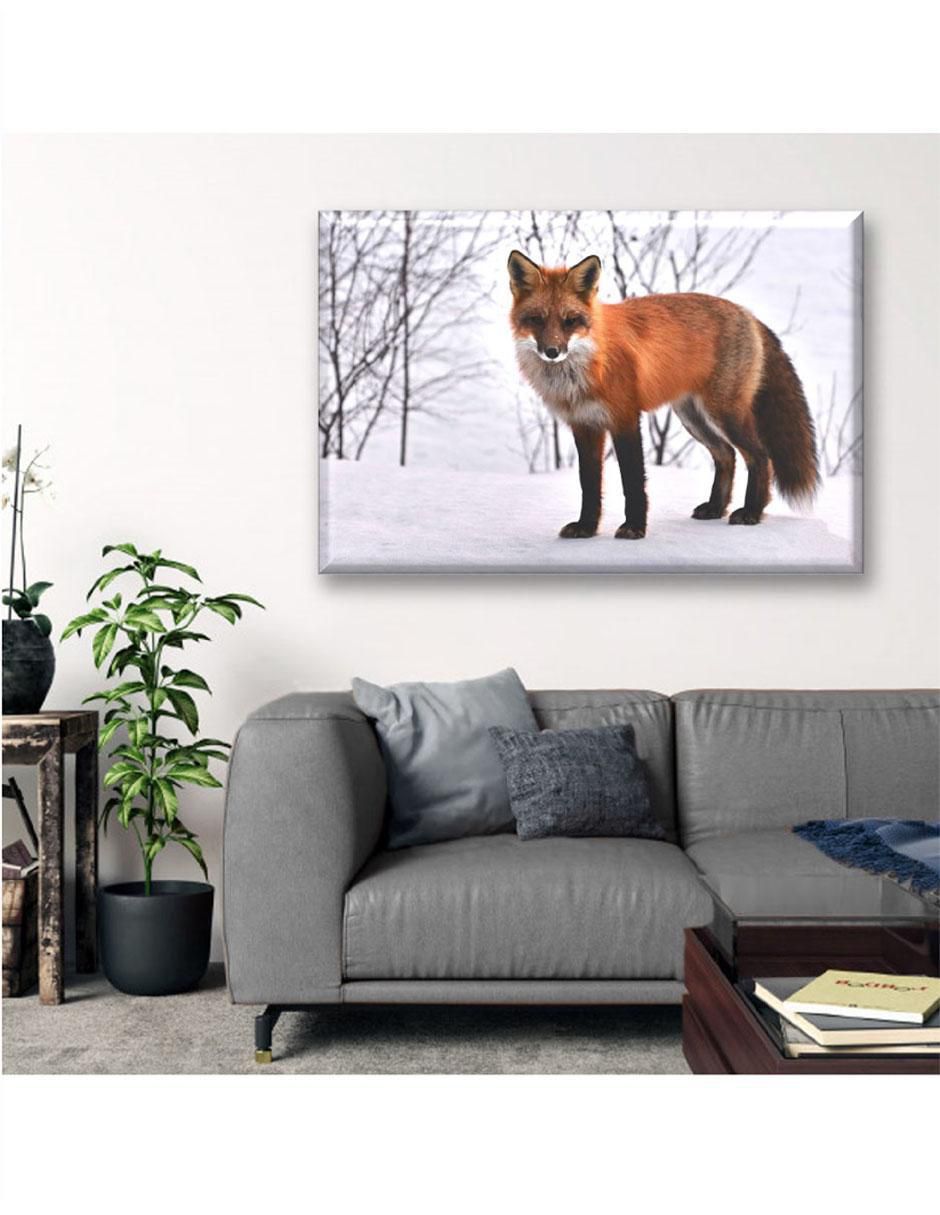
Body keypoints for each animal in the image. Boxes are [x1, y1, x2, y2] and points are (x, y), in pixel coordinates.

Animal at [508, 249, 819, 540]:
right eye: (536, 319)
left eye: (570, 321)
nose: (552, 351)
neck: (587, 366)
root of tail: (747, 314)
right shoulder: (585, 426)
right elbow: (590, 485)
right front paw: (586, 528)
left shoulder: (625, 418)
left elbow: (633, 482)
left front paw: (634, 528)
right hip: (693, 417)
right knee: (726, 455)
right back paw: (716, 508)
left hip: (724, 413)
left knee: (760, 456)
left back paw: (752, 512)